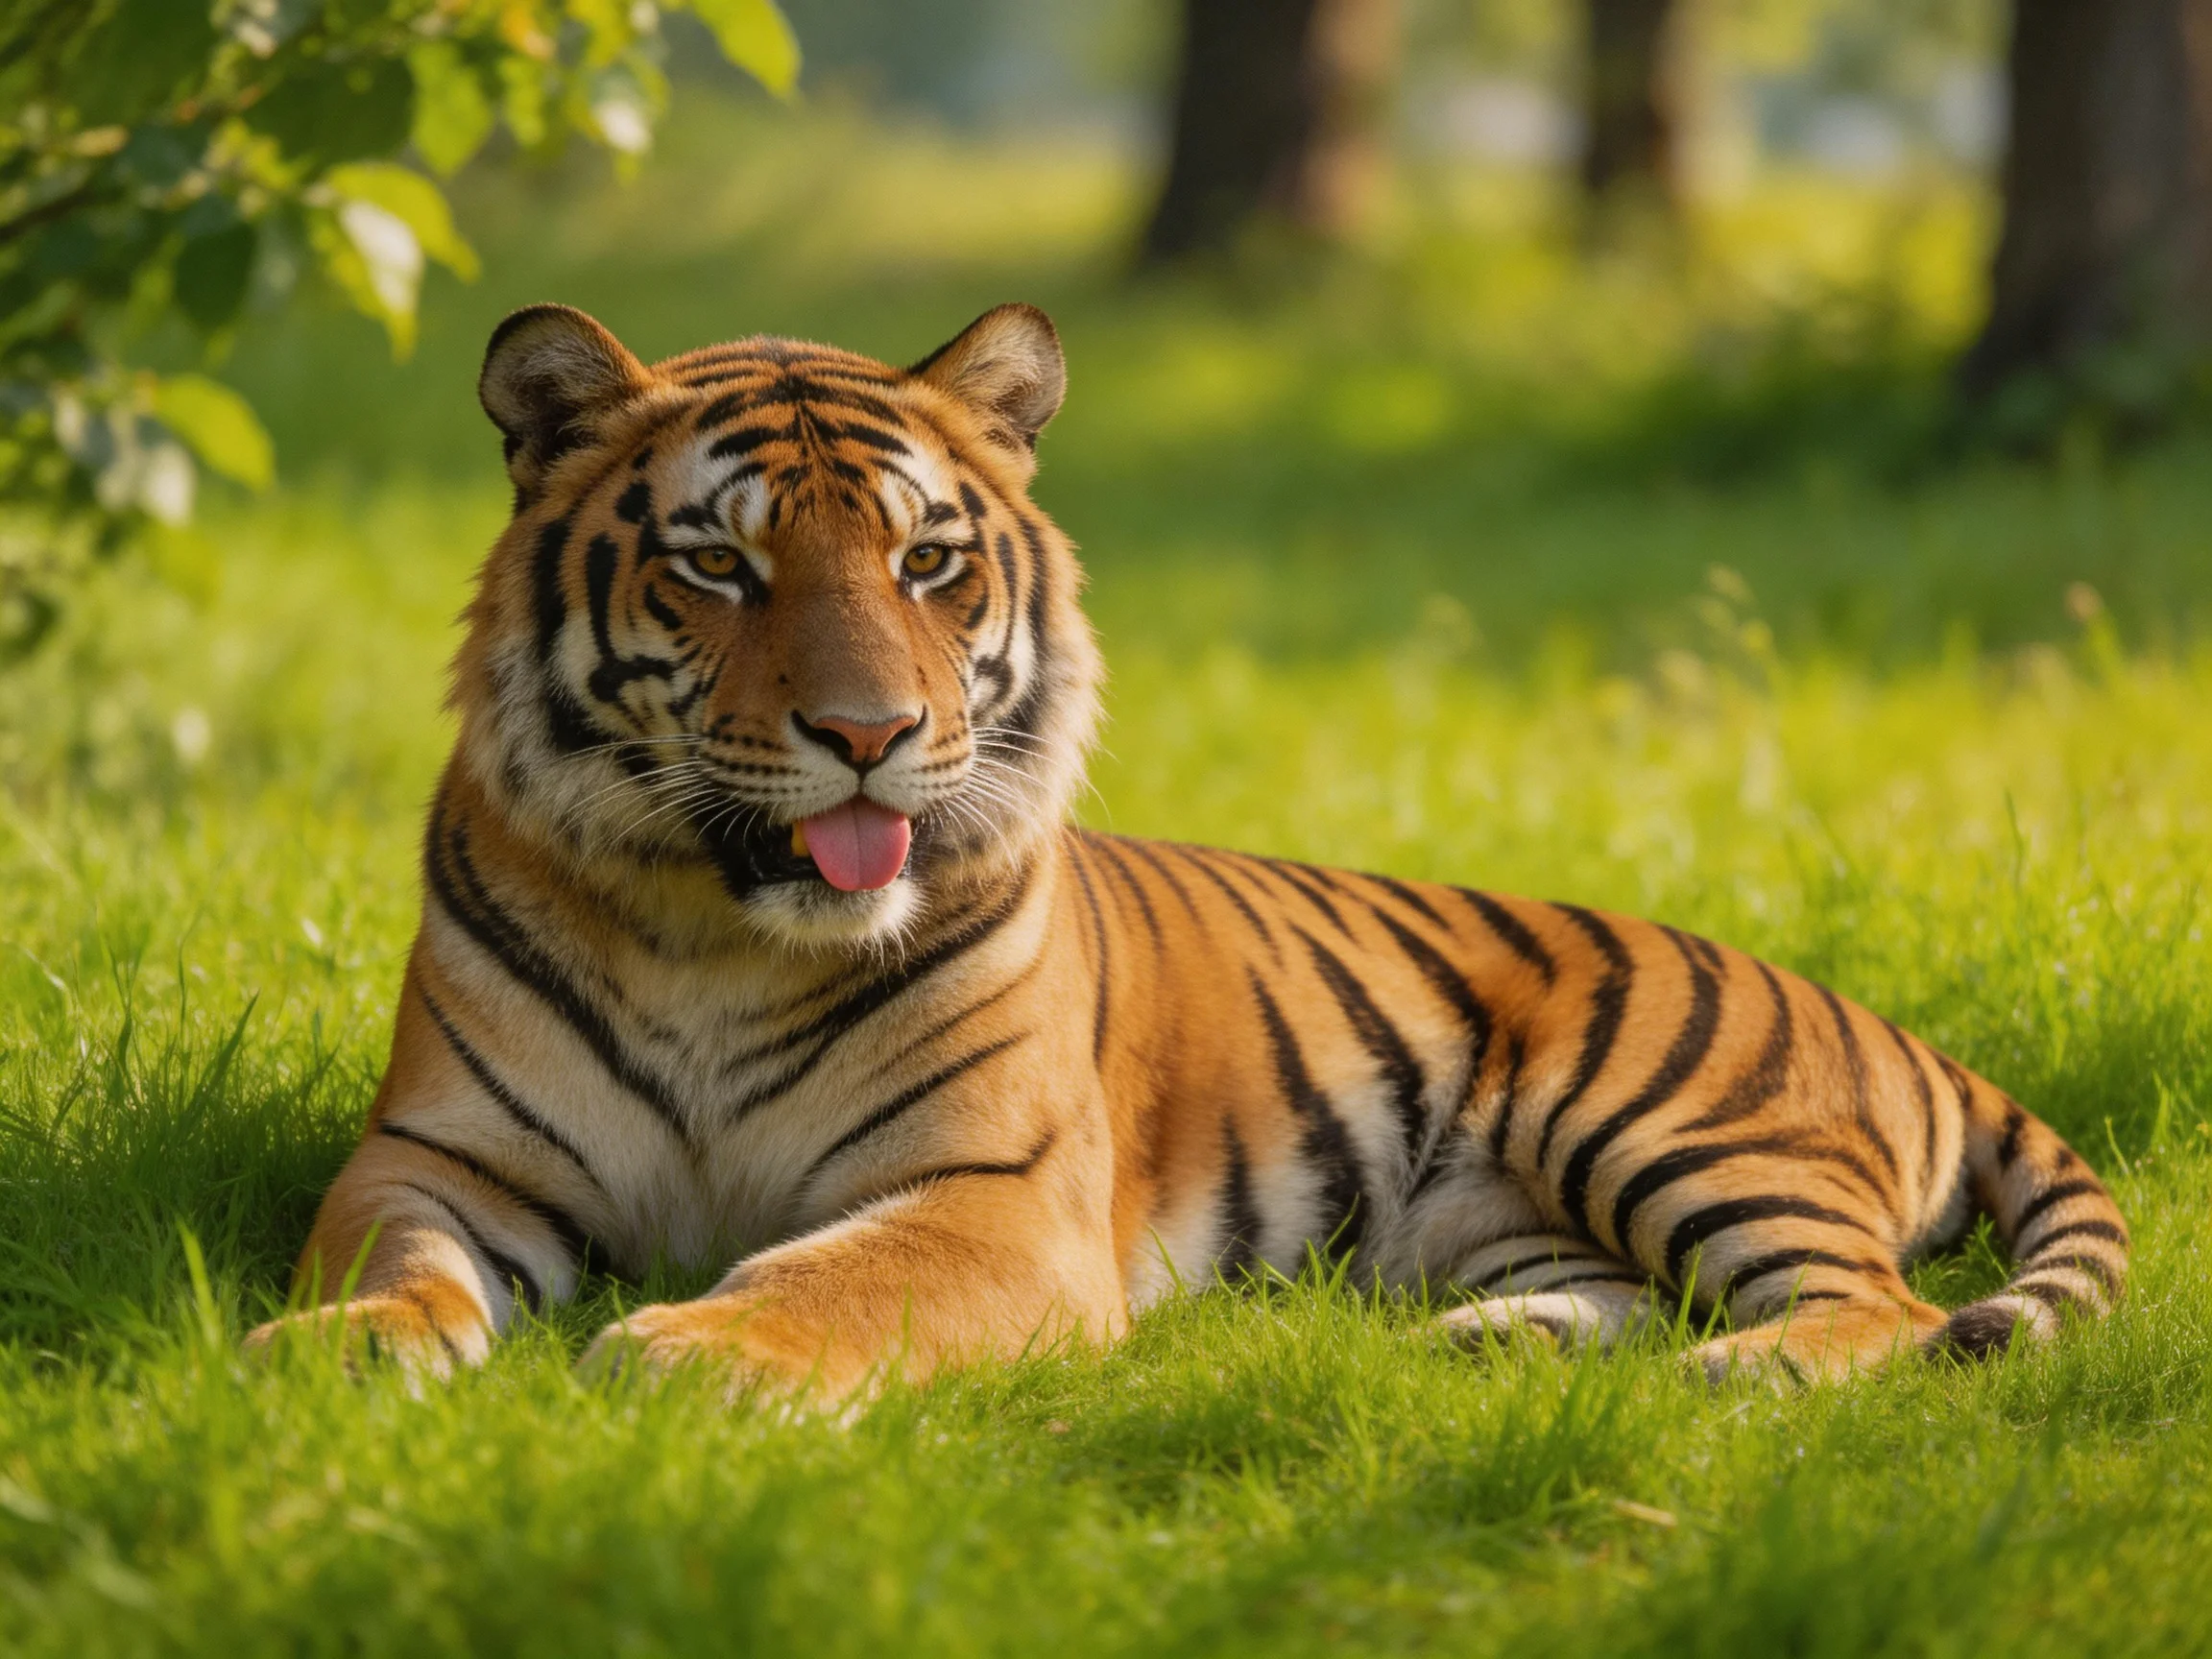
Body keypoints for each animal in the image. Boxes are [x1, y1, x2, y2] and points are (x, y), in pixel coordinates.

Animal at [247, 301, 2130, 1395]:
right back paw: (1492, 1350)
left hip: (1659, 1113)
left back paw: (1725, 1384)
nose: (869, 733)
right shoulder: (437, 1156)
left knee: (1878, 1314)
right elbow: (397, 1268)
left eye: (927, 563)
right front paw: (320, 1351)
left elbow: (828, 1281)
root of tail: (1883, 1017)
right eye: (719, 564)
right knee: (1640, 1294)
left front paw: (684, 1349)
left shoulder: (992, 1196)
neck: (719, 932)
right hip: (1488, 1213)